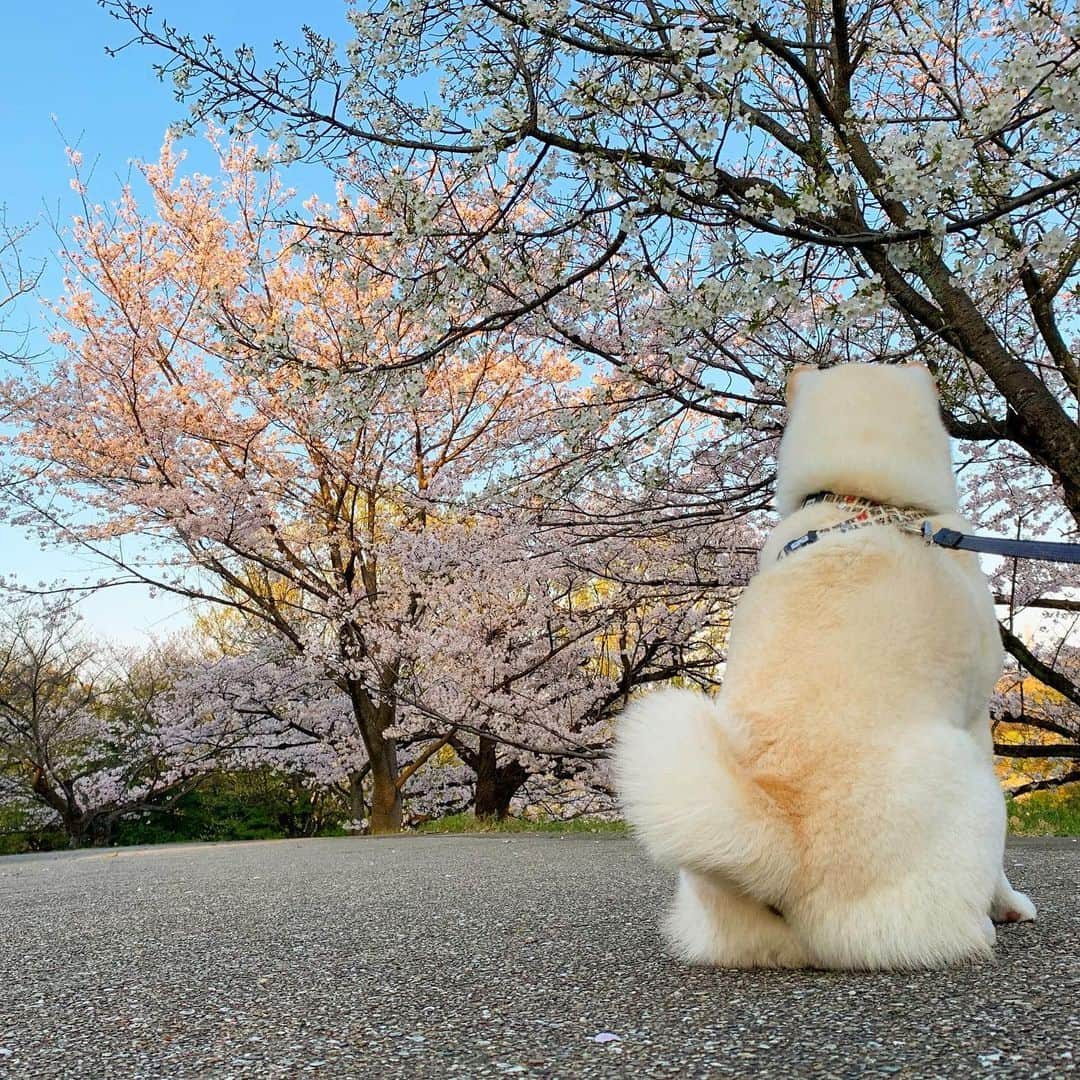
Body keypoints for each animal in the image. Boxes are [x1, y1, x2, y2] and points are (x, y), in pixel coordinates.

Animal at [613, 362, 1032, 972]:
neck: (863, 497)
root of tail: (781, 846)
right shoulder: (978, 716)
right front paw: (1011, 904)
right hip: (972, 786)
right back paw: (982, 924)